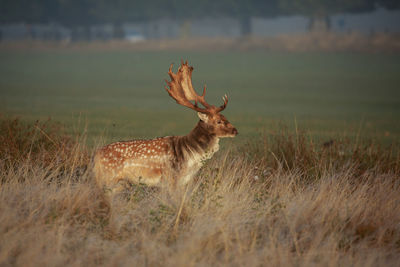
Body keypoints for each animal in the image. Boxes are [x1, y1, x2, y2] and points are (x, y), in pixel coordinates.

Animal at [94, 61, 238, 191]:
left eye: (225, 117)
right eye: (218, 121)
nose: (235, 130)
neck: (190, 157)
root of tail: (95, 156)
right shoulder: (172, 178)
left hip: (119, 183)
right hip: (108, 178)